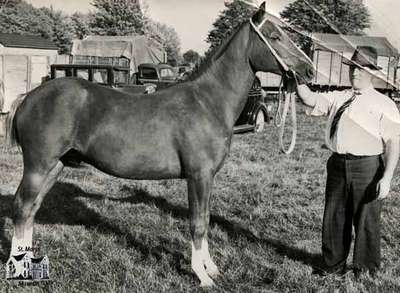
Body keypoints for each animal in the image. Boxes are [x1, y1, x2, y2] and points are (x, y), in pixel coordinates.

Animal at [5, 2, 312, 286]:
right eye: (274, 36)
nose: (309, 70)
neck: (207, 102)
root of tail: (28, 96)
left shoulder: (207, 178)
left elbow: (206, 218)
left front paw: (211, 268)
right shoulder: (198, 176)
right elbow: (198, 223)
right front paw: (202, 275)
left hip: (55, 166)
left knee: (32, 209)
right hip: (38, 166)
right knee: (21, 207)